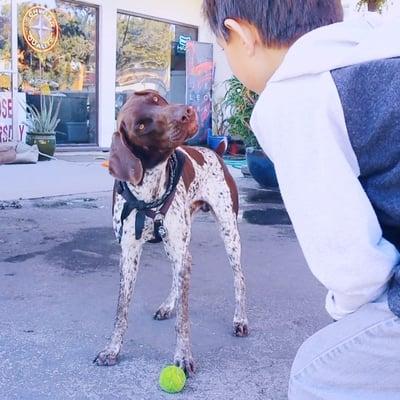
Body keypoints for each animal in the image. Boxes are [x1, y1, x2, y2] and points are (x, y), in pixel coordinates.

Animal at [93, 90, 247, 376]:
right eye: (141, 125)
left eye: (156, 100)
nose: (186, 112)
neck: (148, 194)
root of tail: (215, 152)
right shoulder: (128, 255)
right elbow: (121, 310)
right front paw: (112, 349)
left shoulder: (178, 247)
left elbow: (184, 321)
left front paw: (183, 357)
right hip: (174, 243)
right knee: (183, 268)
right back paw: (167, 305)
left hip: (228, 232)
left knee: (239, 278)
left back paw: (240, 319)